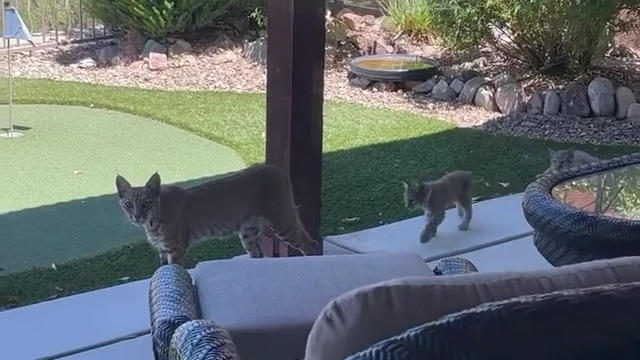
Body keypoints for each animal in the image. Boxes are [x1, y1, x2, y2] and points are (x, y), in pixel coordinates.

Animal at [115, 165, 320, 266]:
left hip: (282, 220)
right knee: (258, 254)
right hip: (248, 232)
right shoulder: (163, 250)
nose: (136, 217)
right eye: (128, 204)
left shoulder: (175, 248)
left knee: (311, 244)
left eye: (146, 203)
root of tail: (277, 168)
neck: (152, 220)